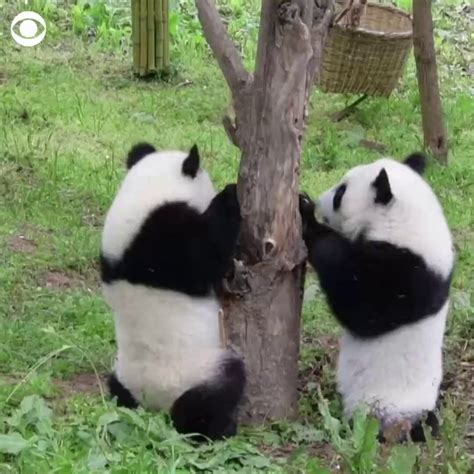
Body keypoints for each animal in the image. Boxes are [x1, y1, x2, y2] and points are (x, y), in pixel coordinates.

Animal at [101, 142, 246, 440]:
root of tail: (152, 405)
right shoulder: (167, 242)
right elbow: (208, 253)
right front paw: (230, 195)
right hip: (196, 371)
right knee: (213, 395)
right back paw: (216, 429)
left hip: (123, 373)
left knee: (117, 391)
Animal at [300, 154, 456, 442]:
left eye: (340, 193)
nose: (319, 199)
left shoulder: (407, 274)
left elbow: (362, 306)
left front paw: (306, 215)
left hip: (393, 407)